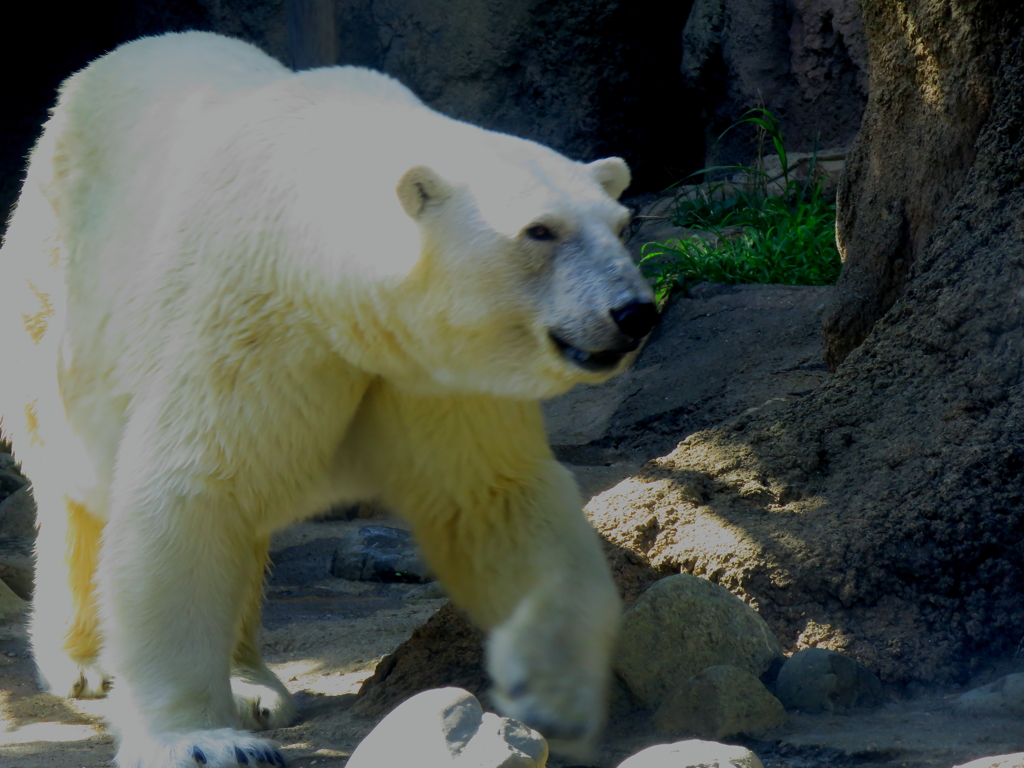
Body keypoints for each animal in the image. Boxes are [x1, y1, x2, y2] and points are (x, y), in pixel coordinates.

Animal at [0, 31, 655, 768]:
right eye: (539, 231)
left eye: (621, 223)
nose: (634, 312)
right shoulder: (250, 326)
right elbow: (191, 494)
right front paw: (201, 739)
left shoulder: (432, 372)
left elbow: (495, 498)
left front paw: (555, 694)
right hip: (58, 298)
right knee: (72, 478)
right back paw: (80, 659)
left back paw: (253, 685)